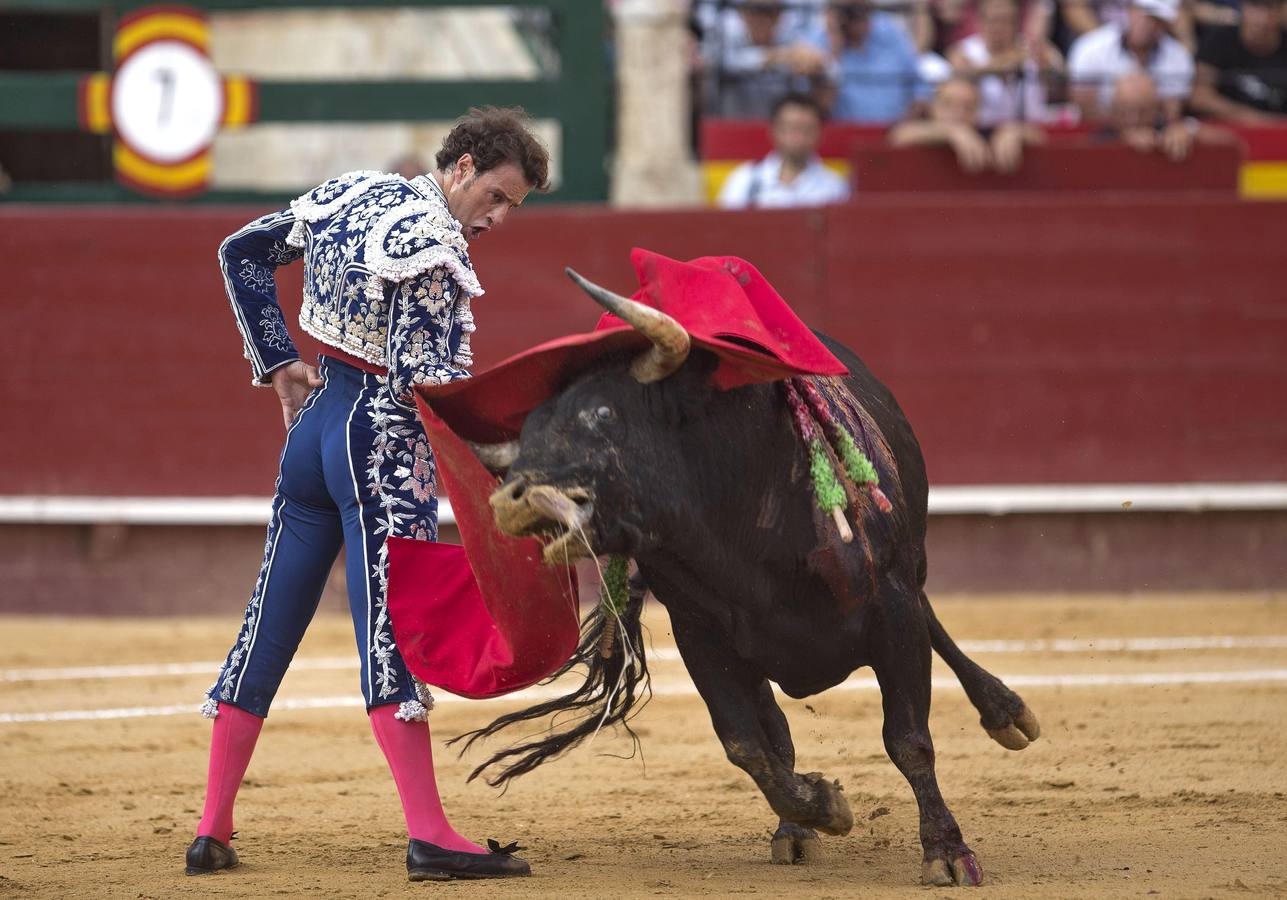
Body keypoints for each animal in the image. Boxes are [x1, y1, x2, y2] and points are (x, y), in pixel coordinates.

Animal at [447, 278, 1039, 885]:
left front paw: (947, 851)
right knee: (775, 731)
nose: (514, 499)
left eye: (604, 412)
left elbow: (908, 738)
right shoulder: (701, 636)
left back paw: (1006, 711)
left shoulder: (892, 607)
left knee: (930, 618)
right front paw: (824, 806)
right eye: (527, 433)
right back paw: (795, 832)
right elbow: (749, 745)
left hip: (907, 563)